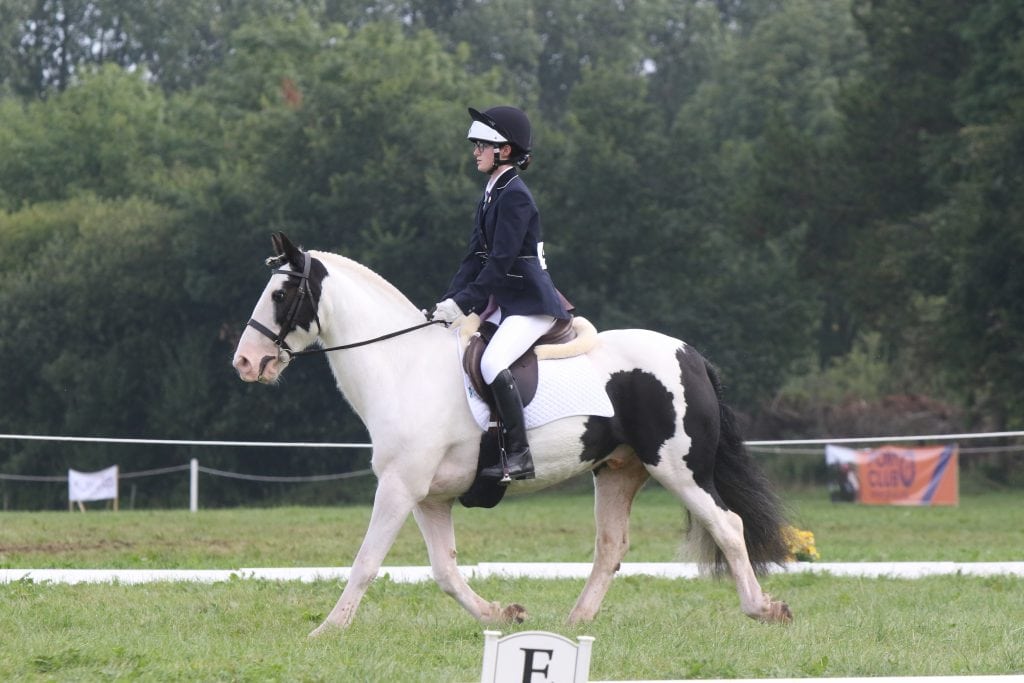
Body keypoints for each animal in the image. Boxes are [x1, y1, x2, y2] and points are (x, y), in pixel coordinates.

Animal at [230, 232, 790, 638]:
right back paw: (575, 622)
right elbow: (445, 571)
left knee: (728, 526)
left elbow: (366, 562)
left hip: (678, 467)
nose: (246, 362)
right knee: (611, 546)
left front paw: (327, 630)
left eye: (280, 293)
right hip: (618, 470)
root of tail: (688, 354)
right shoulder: (427, 497)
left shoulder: (398, 487)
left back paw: (762, 609)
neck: (402, 366)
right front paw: (504, 615)